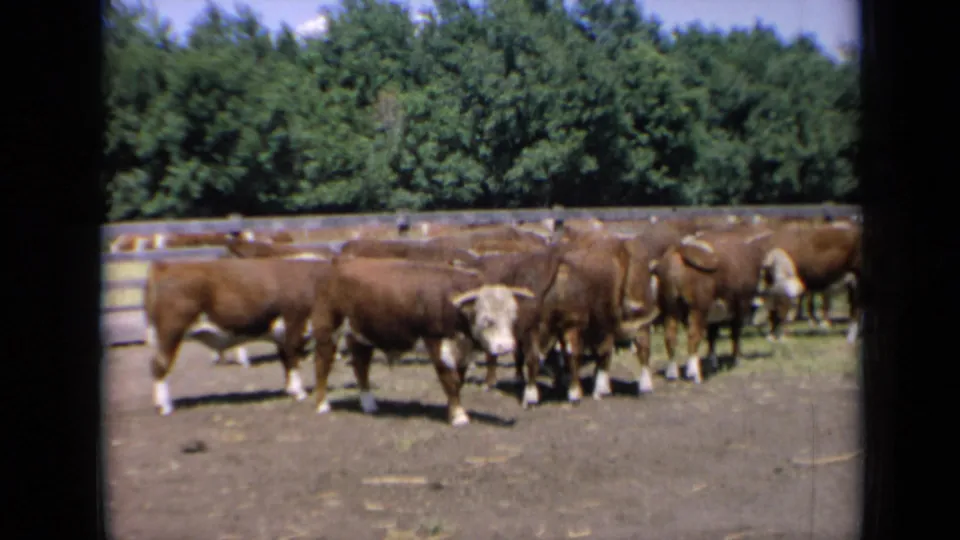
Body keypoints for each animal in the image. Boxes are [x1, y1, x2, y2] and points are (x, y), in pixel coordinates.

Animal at [143, 258, 333, 415]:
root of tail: (165, 265)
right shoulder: (295, 323)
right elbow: (293, 359)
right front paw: (299, 392)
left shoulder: (281, 335)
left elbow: (286, 361)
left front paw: (290, 390)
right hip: (170, 332)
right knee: (159, 365)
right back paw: (165, 407)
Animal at [309, 257, 536, 426]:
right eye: (487, 320)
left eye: (513, 317)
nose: (506, 346)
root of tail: (339, 263)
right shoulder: (435, 341)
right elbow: (449, 380)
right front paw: (459, 416)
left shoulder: (463, 350)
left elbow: (458, 381)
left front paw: (453, 410)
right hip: (327, 328)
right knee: (322, 364)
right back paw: (322, 405)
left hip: (360, 335)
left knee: (360, 365)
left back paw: (369, 404)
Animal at [652, 228, 806, 384]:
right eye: (783, 297)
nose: (787, 318)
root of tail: (681, 248)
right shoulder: (740, 305)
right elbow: (735, 332)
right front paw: (737, 358)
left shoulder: (715, 312)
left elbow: (712, 335)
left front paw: (712, 360)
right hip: (698, 308)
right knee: (693, 336)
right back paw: (694, 373)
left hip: (670, 308)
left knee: (670, 337)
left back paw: (672, 373)